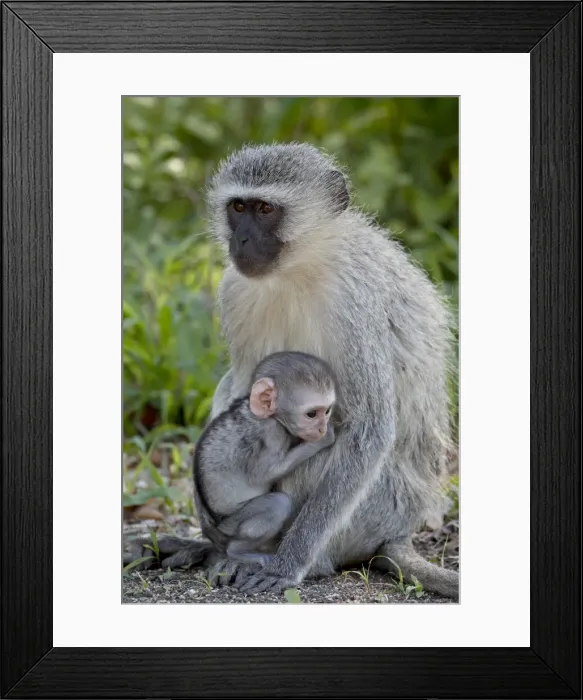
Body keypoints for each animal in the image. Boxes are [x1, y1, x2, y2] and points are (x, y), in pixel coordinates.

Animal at [127, 142, 459, 600]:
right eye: (239, 207)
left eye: (266, 209)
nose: (241, 239)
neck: (301, 265)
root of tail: (401, 530)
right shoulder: (233, 288)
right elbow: (242, 393)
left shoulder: (354, 302)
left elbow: (370, 428)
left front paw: (291, 563)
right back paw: (210, 549)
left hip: (377, 512)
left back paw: (296, 560)